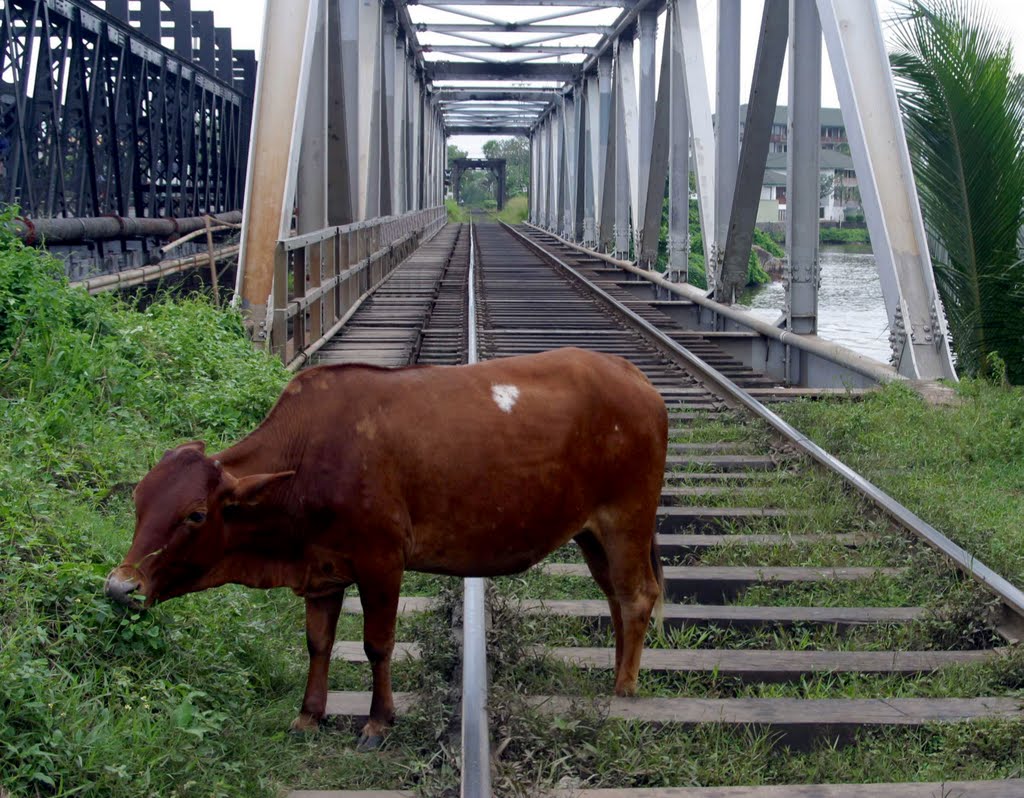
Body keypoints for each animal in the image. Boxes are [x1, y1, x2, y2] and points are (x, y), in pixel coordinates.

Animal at [103, 346, 663, 745]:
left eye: (195, 514)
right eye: (138, 501)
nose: (120, 587)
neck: (306, 459)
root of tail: (633, 376)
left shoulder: (382, 561)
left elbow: (378, 644)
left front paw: (378, 722)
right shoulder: (321, 572)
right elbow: (318, 642)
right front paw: (309, 715)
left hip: (627, 520)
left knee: (637, 596)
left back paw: (625, 688)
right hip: (592, 533)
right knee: (615, 598)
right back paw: (619, 671)